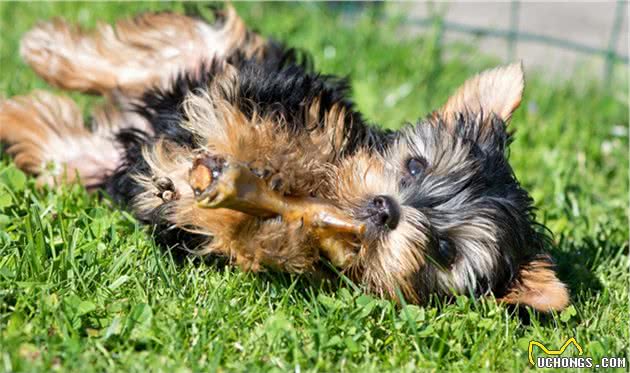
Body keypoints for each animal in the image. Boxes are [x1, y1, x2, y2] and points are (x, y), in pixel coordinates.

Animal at [0, 5, 572, 310]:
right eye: (416, 165)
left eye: (444, 251)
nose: (386, 209)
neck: (327, 195)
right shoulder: (295, 97)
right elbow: (291, 133)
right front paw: (277, 160)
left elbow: (241, 238)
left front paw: (278, 227)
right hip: (223, 57)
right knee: (165, 48)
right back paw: (47, 49)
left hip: (98, 160)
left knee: (64, 145)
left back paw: (17, 113)